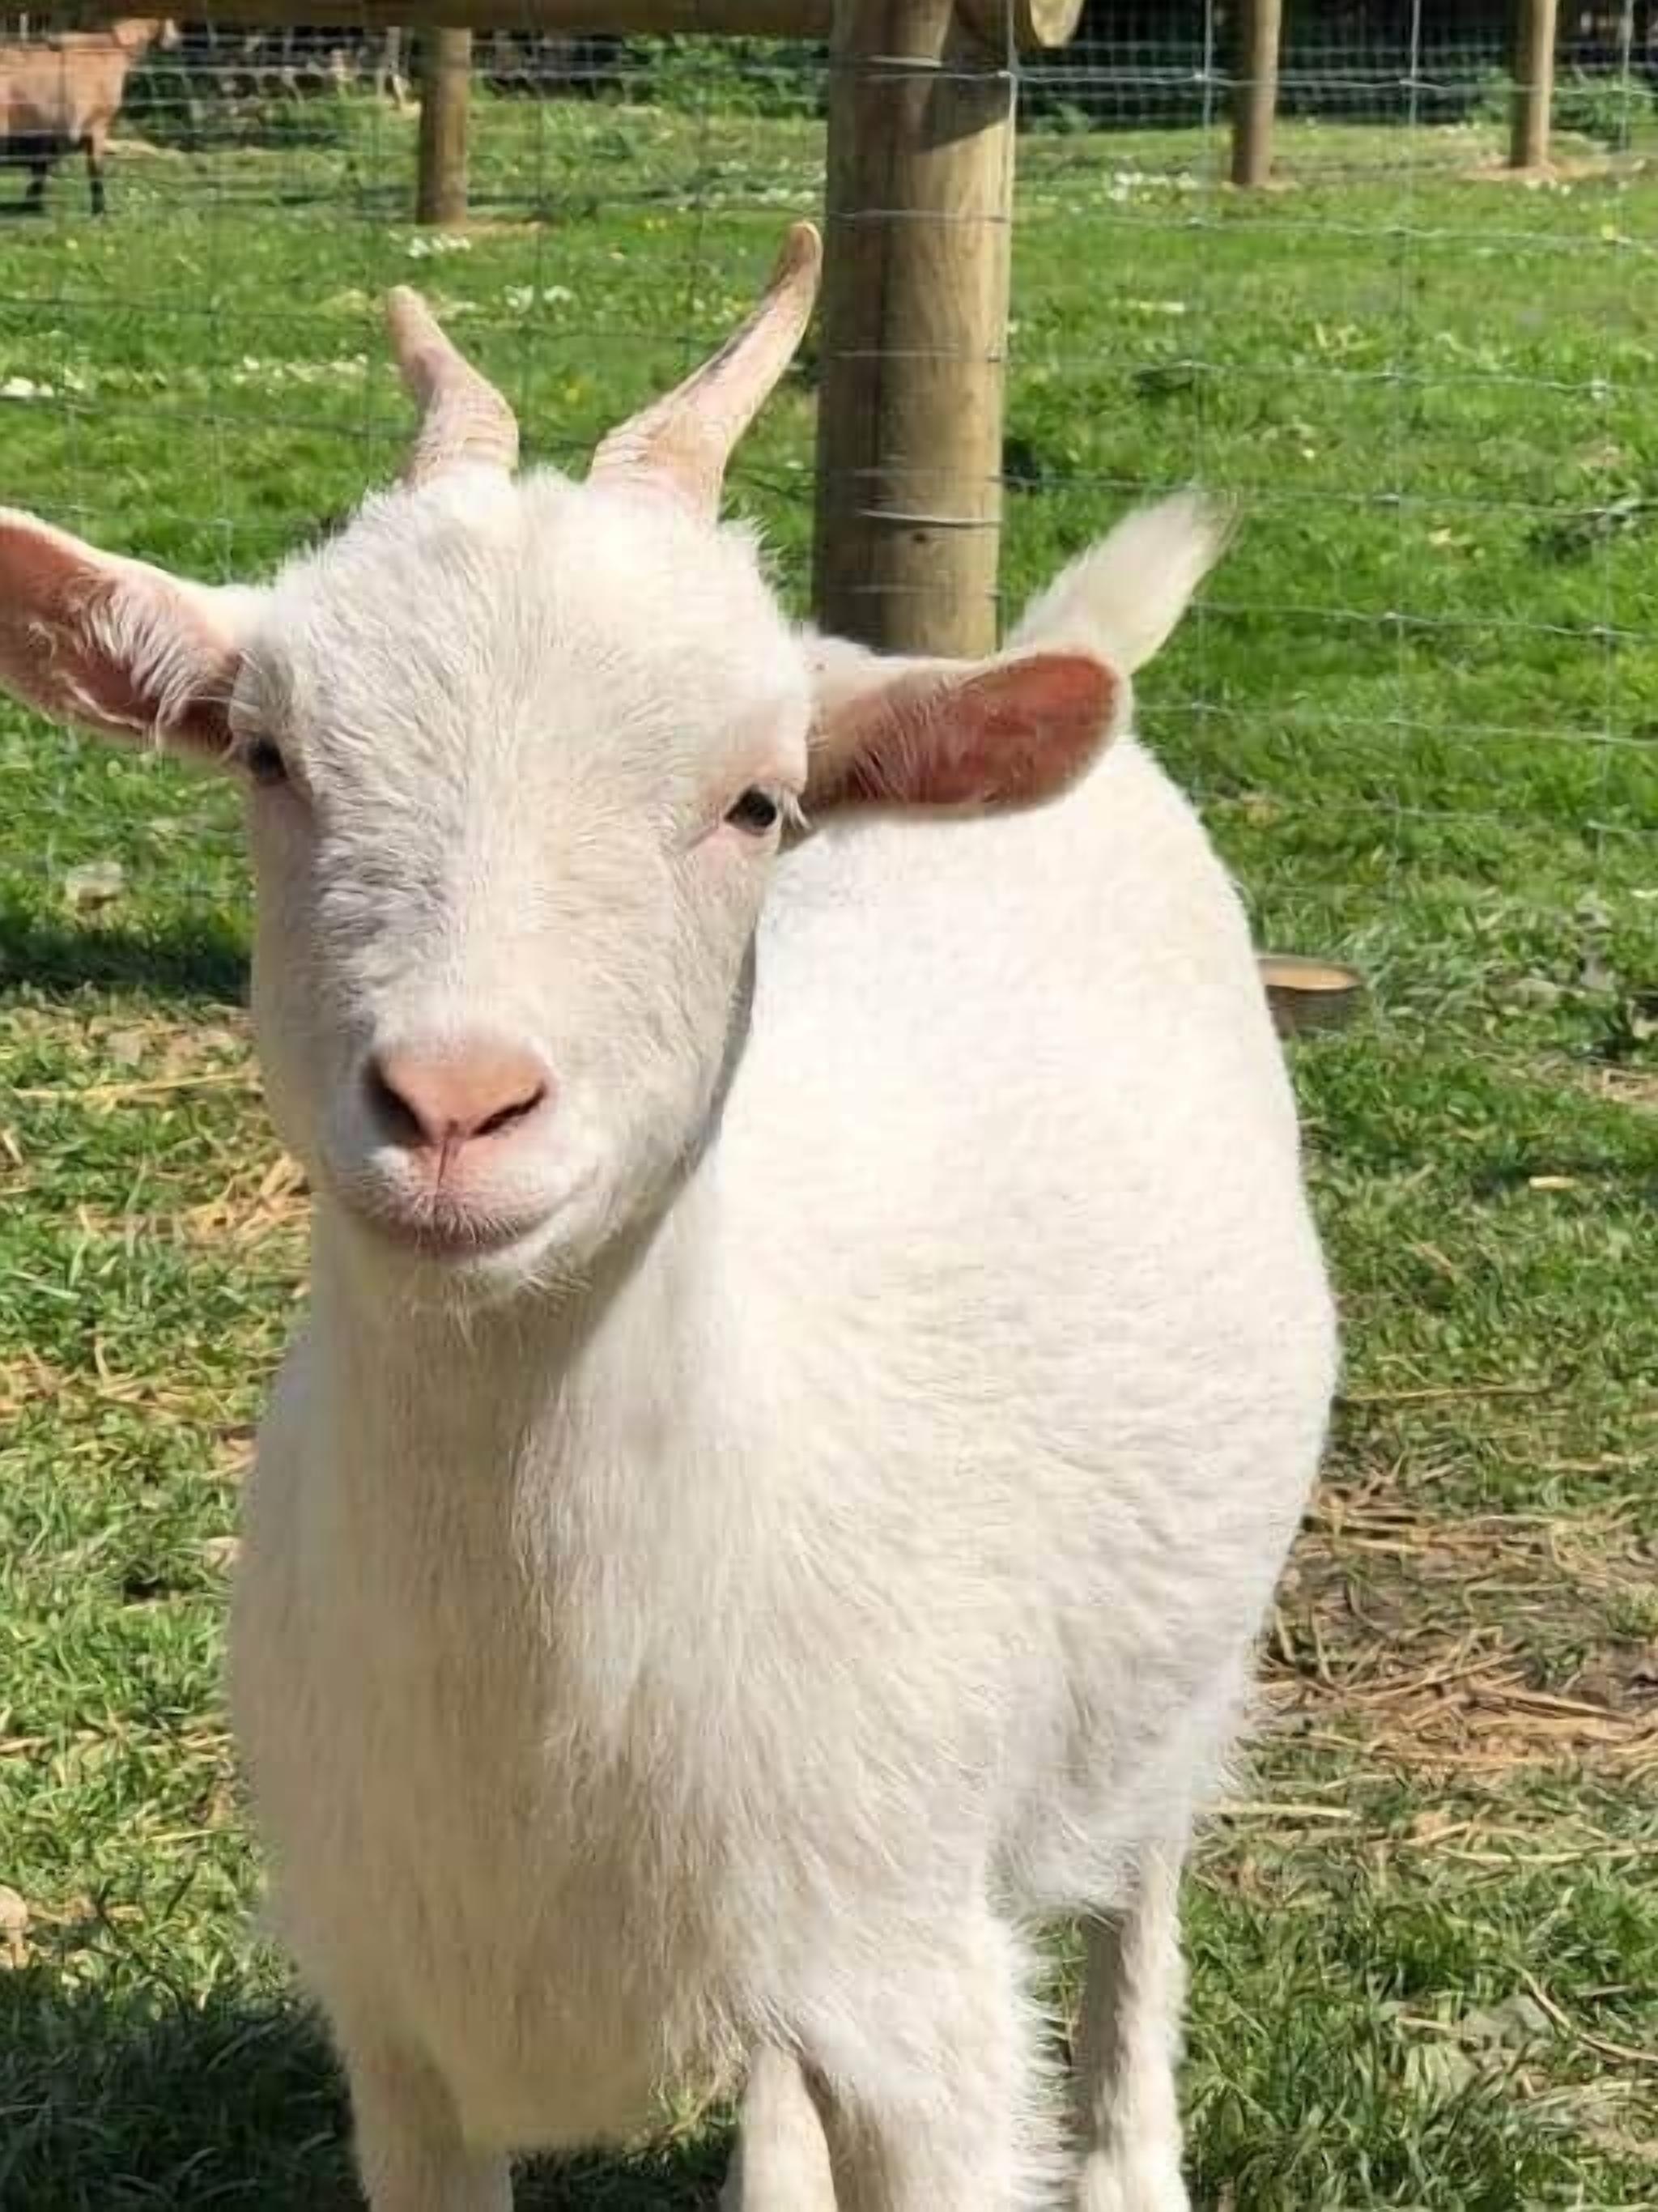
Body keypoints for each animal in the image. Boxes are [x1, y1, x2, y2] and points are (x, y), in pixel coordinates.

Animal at [0, 19, 176, 217]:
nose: (176, 39)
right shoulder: (96, 125)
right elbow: (95, 169)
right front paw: (100, 210)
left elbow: (40, 171)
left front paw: (31, 207)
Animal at [0, 222, 1336, 2210]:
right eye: (262, 755)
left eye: (756, 800)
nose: (455, 1106)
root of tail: (1047, 655)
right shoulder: (397, 2027)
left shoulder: (924, 2002)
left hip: (1178, 1650)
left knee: (1146, 1867)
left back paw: (1128, 2153)